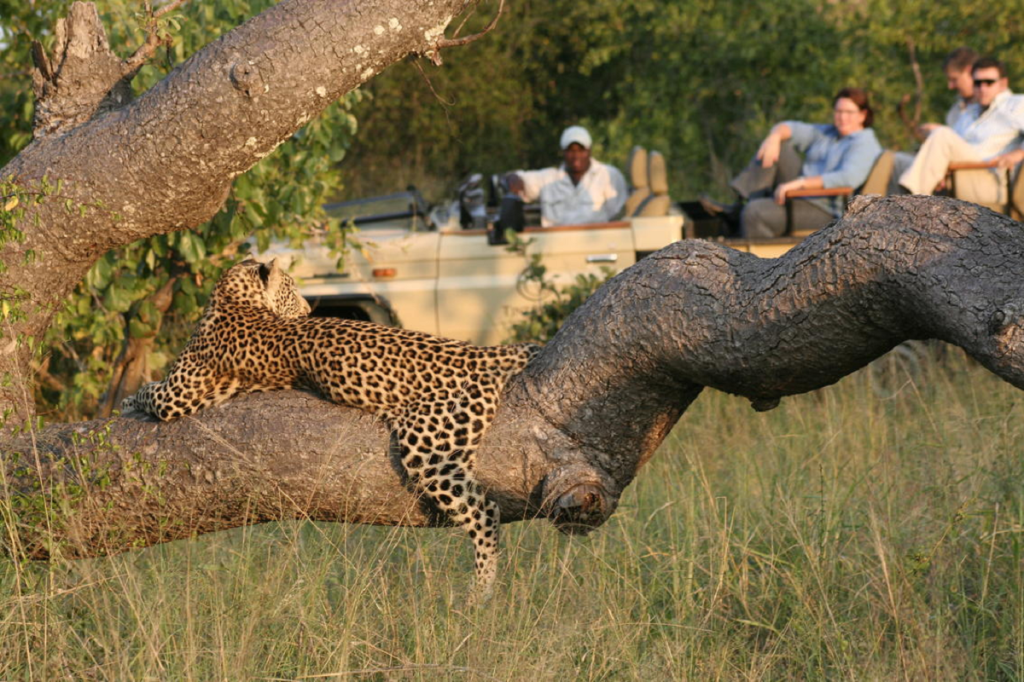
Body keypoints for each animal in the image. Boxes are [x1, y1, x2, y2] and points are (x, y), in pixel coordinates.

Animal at [122, 254, 540, 593]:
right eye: (292, 289)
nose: (309, 308)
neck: (235, 299)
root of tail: (481, 351)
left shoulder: (178, 394)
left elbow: (147, 391)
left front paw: (127, 401)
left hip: (429, 449)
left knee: (485, 512)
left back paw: (480, 593)